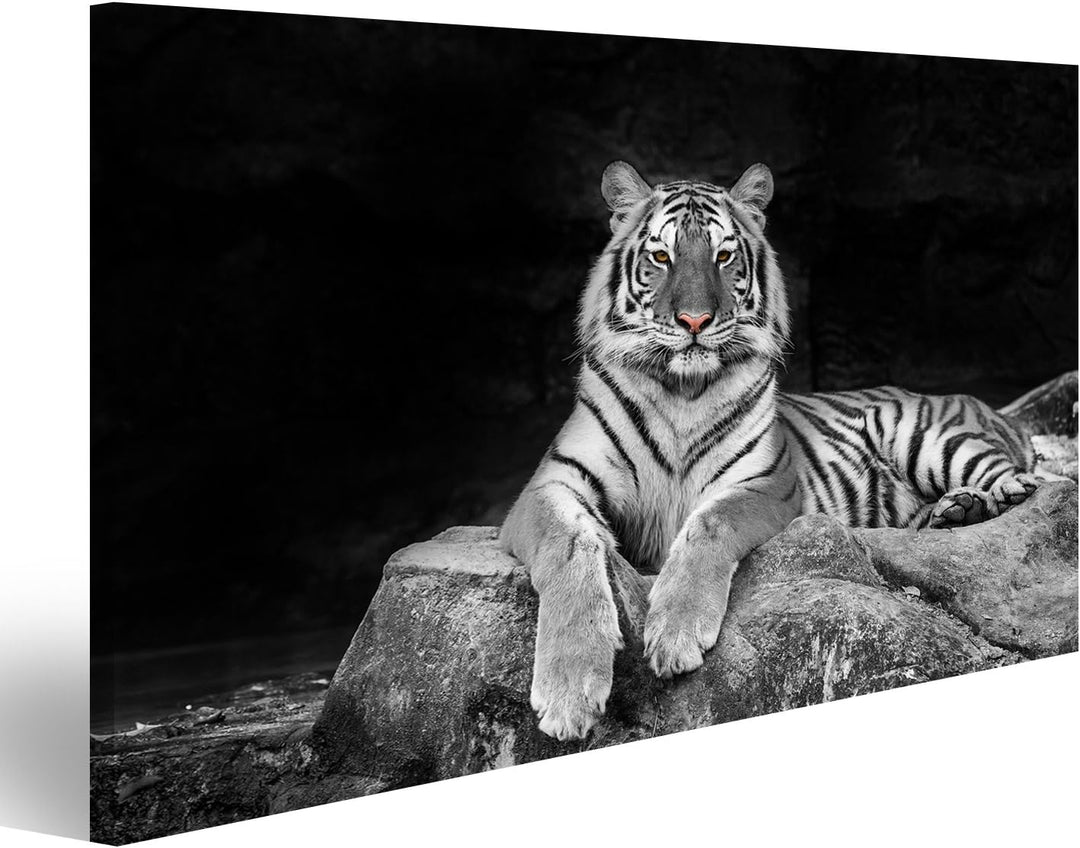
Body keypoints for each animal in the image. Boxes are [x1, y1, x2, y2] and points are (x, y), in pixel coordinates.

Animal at [499, 160, 1040, 742]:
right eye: (662, 257)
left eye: (723, 256)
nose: (694, 321)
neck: (679, 392)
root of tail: (985, 405)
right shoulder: (551, 482)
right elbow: (568, 544)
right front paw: (568, 690)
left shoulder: (765, 483)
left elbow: (710, 523)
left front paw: (674, 632)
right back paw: (954, 511)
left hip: (927, 436)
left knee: (1026, 478)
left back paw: (990, 497)